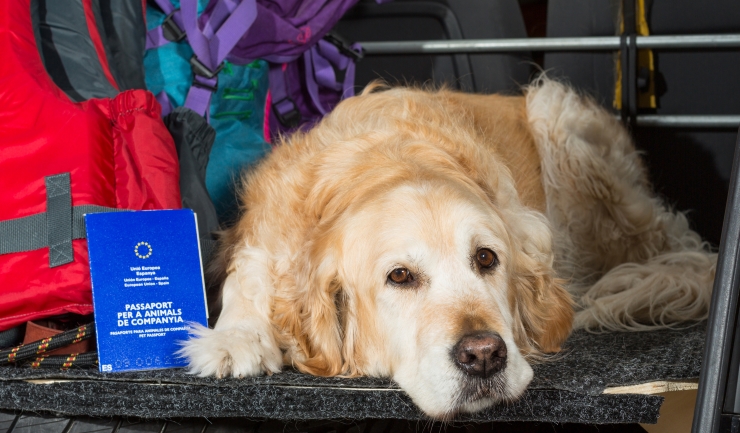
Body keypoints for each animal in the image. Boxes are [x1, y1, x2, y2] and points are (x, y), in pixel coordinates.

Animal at [180, 79, 716, 419]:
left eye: (486, 258)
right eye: (399, 276)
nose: (483, 356)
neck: (386, 161)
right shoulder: (266, 230)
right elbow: (248, 273)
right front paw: (235, 338)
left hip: (562, 127)